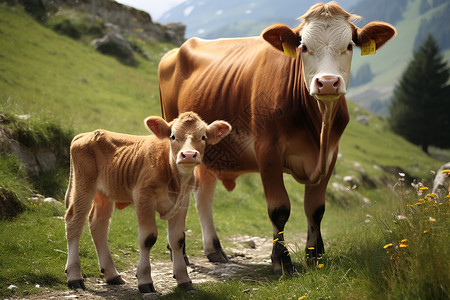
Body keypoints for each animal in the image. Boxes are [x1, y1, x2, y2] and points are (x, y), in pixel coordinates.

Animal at [63, 112, 232, 292]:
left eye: (203, 136)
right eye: (173, 136)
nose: (188, 154)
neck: (174, 179)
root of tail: (85, 135)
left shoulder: (182, 202)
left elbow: (177, 239)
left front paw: (183, 279)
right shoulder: (144, 197)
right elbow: (147, 238)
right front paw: (144, 280)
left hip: (105, 193)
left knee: (98, 225)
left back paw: (112, 275)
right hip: (84, 185)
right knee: (74, 222)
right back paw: (74, 276)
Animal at [157, 1, 394, 276]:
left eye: (349, 45)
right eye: (304, 46)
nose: (327, 83)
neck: (317, 126)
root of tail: (176, 50)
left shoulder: (331, 154)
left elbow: (316, 209)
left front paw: (315, 256)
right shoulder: (267, 150)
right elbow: (279, 209)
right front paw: (281, 261)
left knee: (203, 193)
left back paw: (214, 249)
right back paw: (180, 255)